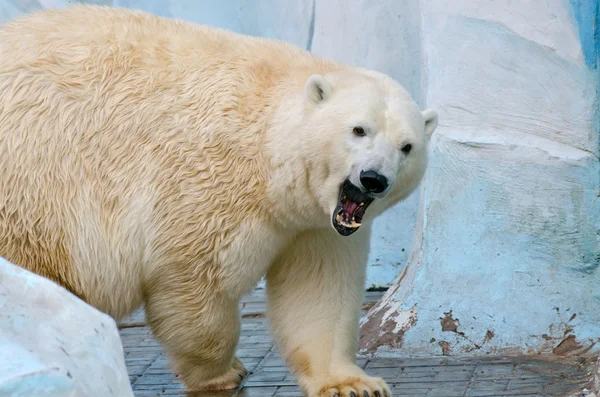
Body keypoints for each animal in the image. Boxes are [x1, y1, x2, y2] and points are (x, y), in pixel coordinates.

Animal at [0, 5, 436, 396]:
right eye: (359, 129)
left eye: (407, 146)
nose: (373, 179)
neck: (267, 146)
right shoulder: (206, 182)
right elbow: (197, 280)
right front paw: (223, 372)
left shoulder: (316, 226)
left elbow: (319, 288)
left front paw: (353, 383)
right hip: (32, 193)